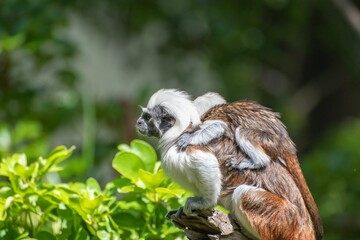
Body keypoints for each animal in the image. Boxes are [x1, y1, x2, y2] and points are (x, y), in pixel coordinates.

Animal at [136, 88, 324, 240]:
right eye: (143, 116)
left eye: (148, 117)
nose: (138, 122)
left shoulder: (183, 147)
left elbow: (206, 160)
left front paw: (203, 203)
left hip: (286, 222)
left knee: (245, 194)